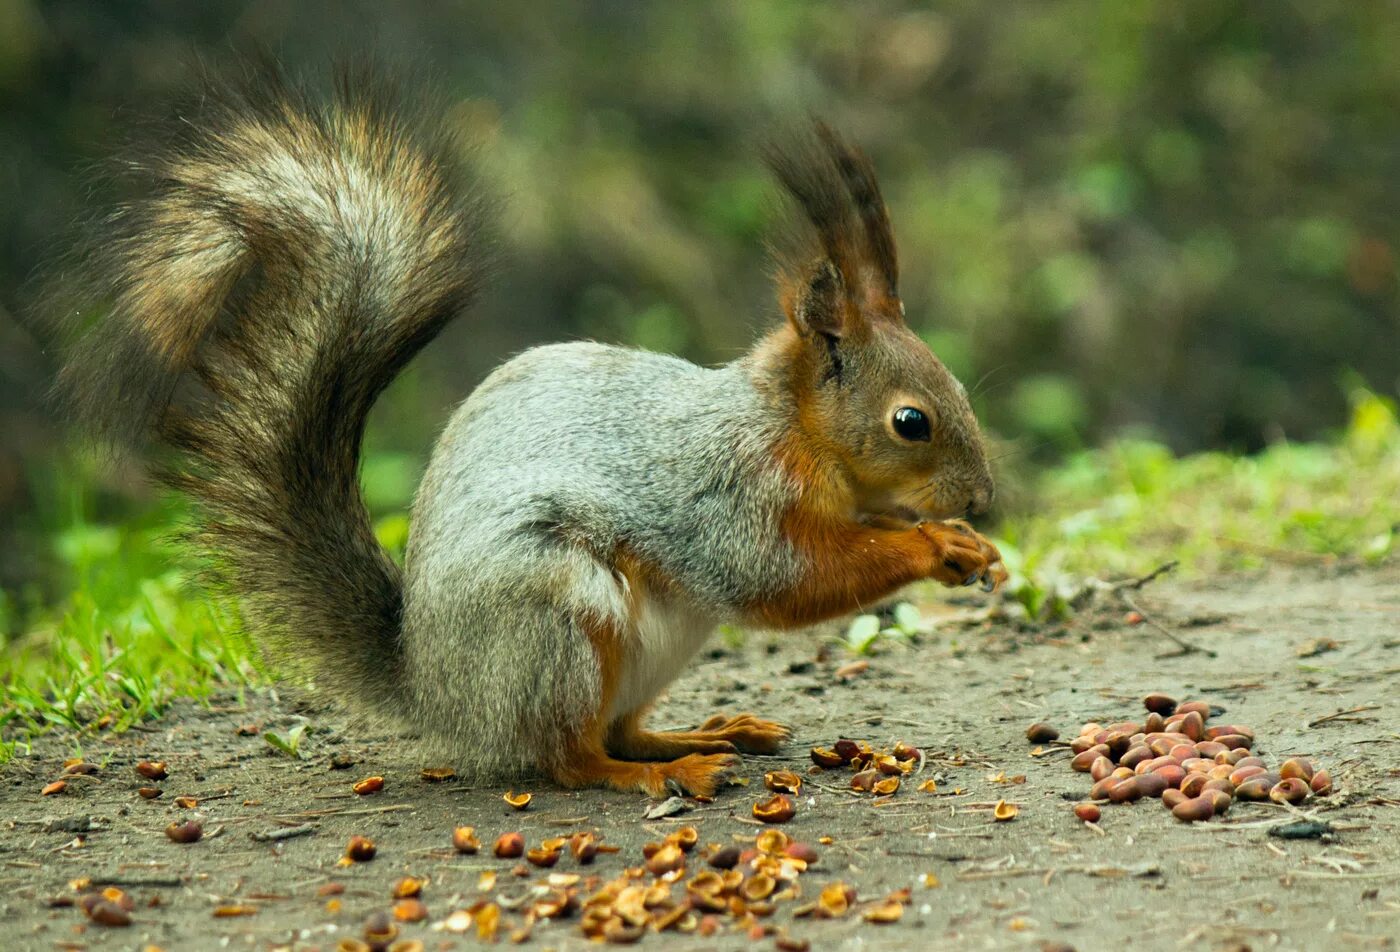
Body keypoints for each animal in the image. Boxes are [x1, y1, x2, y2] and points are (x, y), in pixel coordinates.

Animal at [49, 66, 1002, 795]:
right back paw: (665, 774)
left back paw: (702, 735)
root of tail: (437, 690)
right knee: (572, 758)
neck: (794, 429)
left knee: (617, 732)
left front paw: (964, 546)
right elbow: (781, 578)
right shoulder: (728, 493)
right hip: (555, 618)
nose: (985, 498)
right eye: (910, 422)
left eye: (957, 389)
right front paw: (929, 548)